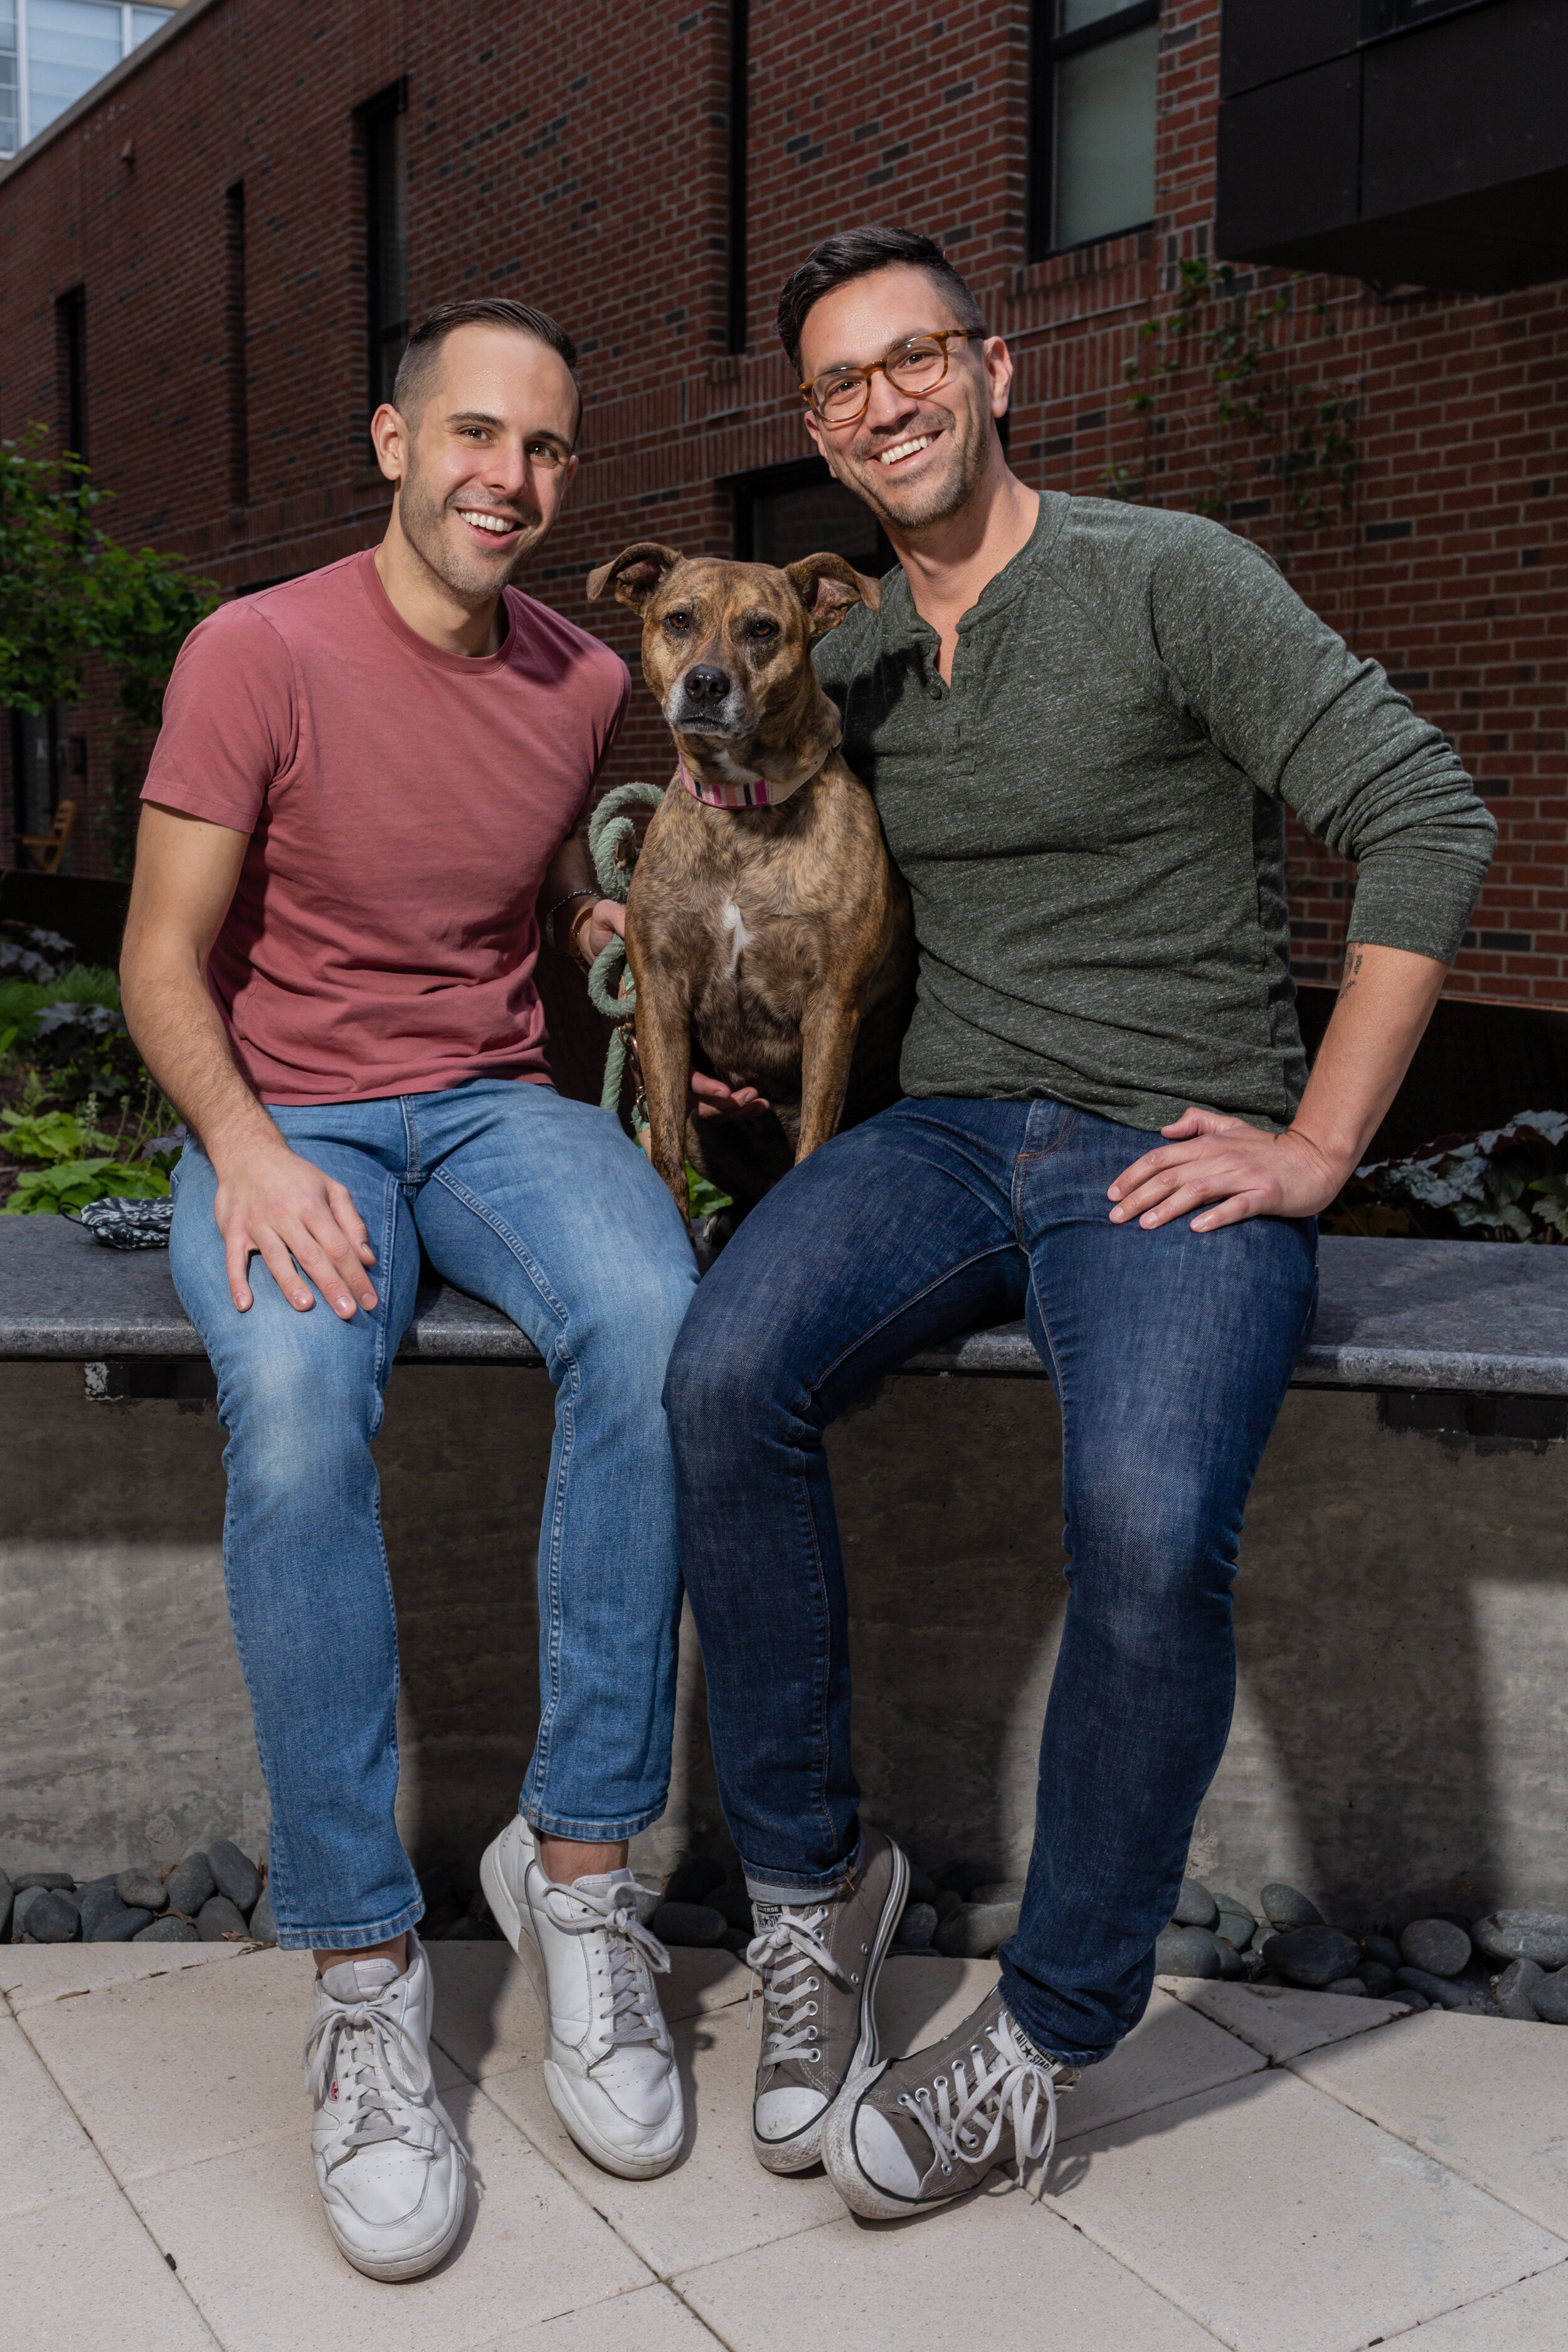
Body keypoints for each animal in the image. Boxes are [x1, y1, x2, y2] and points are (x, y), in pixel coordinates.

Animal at [583, 538, 912, 1223]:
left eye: (762, 629)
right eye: (679, 620)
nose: (707, 682)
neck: (742, 814)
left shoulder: (831, 1006)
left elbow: (815, 1140)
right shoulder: (659, 997)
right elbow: (667, 1159)